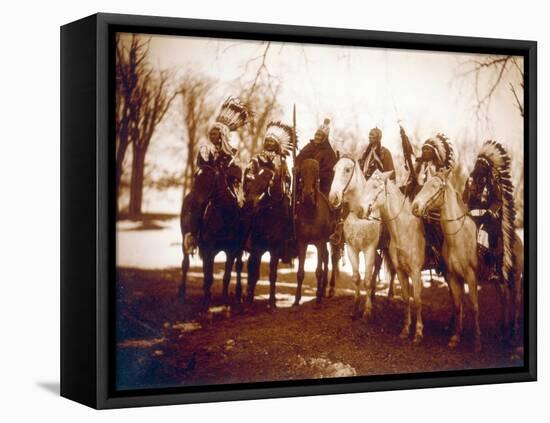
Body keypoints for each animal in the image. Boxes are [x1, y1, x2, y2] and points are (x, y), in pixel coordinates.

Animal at [180, 166, 245, 308]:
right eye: (196, 178)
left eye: (209, 181)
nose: (192, 206)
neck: (225, 216)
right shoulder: (209, 248)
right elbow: (209, 275)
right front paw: (206, 300)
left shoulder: (231, 250)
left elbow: (226, 275)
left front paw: (225, 299)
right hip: (185, 242)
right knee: (186, 264)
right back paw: (182, 293)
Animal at [296, 159, 338, 304]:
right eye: (302, 172)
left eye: (316, 173)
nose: (307, 194)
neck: (310, 213)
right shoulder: (302, 242)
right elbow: (300, 272)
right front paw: (297, 299)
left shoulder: (319, 242)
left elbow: (318, 270)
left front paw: (318, 297)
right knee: (326, 257)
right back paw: (323, 288)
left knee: (333, 258)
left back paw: (329, 289)